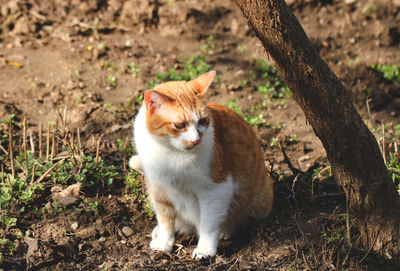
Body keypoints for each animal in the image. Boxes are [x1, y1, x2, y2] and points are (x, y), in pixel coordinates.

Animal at [130, 70, 274, 260]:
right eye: (179, 125)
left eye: (203, 121)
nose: (195, 140)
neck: (171, 153)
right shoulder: (160, 188)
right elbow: (165, 218)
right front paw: (164, 242)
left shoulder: (216, 190)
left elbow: (209, 224)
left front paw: (205, 249)